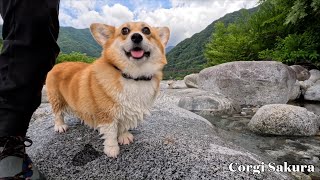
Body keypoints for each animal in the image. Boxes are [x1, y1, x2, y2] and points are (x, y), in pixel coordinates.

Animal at [45, 22, 170, 158]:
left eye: (146, 30)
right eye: (125, 30)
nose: (136, 36)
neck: (133, 76)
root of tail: (56, 65)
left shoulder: (126, 112)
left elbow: (123, 125)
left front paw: (124, 136)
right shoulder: (107, 114)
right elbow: (110, 133)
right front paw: (112, 149)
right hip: (56, 98)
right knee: (58, 113)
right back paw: (60, 126)